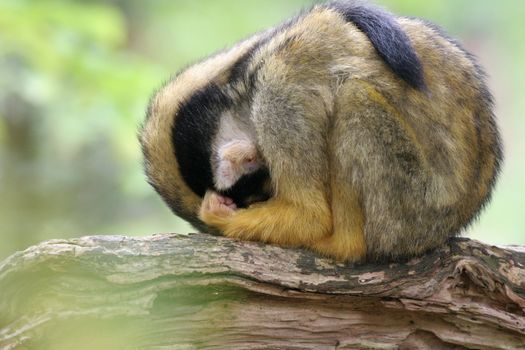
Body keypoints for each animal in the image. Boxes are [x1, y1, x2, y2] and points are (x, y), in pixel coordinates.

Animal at [139, 0, 500, 262]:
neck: (243, 79)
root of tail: (440, 231)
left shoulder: (277, 95)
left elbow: (308, 215)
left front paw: (218, 218)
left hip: (406, 212)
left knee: (354, 100)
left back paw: (343, 244)